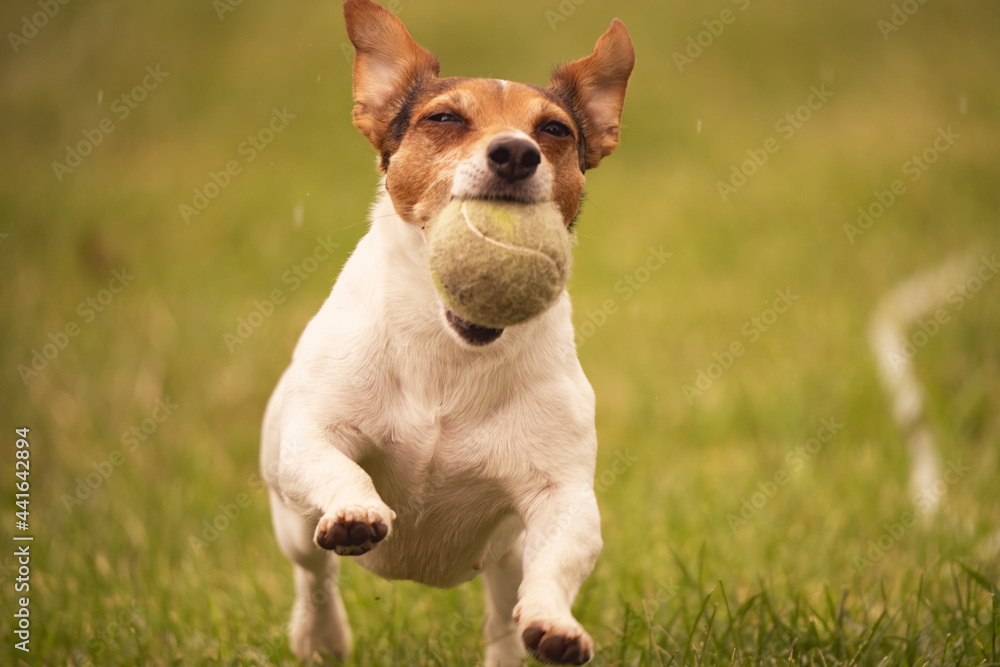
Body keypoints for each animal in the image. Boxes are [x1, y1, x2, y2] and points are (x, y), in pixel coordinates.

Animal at [258, 2, 632, 664]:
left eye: (555, 130)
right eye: (445, 118)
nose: (516, 153)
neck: (451, 352)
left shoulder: (562, 497)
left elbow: (559, 562)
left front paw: (555, 624)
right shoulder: (312, 438)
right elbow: (341, 470)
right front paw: (356, 510)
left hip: (506, 557)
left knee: (504, 613)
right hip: (292, 519)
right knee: (313, 572)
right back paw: (320, 635)